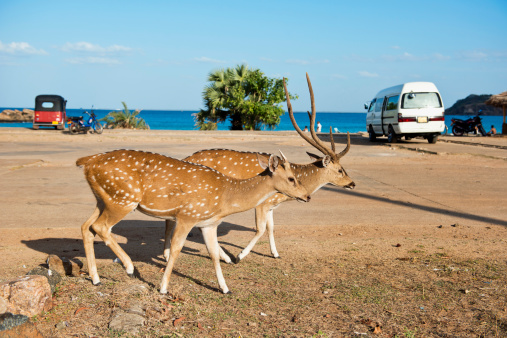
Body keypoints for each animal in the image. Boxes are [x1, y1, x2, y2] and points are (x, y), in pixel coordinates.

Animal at [77, 149, 312, 294]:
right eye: (292, 178)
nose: (308, 196)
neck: (226, 195)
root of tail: (86, 161)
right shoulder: (187, 215)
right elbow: (176, 249)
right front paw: (163, 288)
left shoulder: (209, 223)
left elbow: (214, 254)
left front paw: (225, 288)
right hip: (123, 199)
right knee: (100, 227)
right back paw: (129, 267)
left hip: (103, 199)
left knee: (86, 226)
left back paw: (96, 278)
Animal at [165, 73, 356, 264]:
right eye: (340, 169)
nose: (353, 184)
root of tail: (185, 159)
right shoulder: (263, 203)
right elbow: (260, 229)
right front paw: (239, 256)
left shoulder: (271, 206)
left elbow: (271, 228)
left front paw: (276, 253)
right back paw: (220, 257)